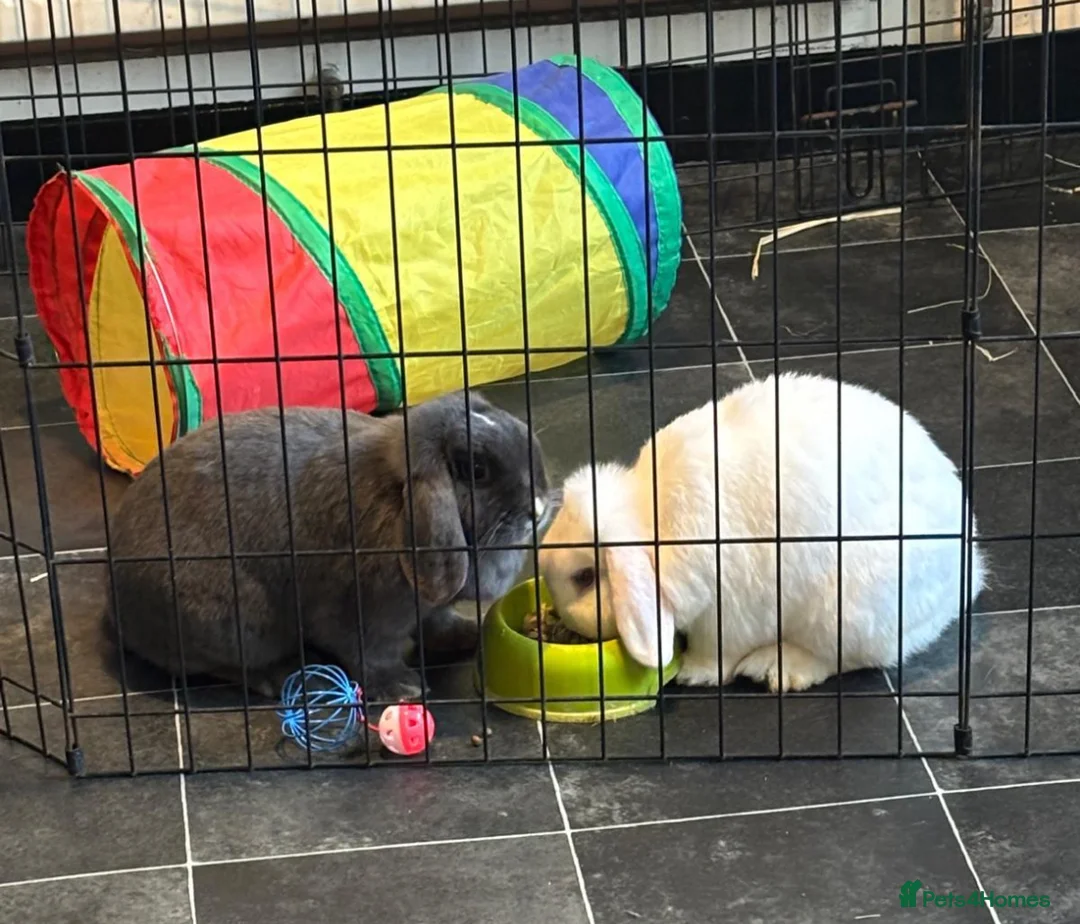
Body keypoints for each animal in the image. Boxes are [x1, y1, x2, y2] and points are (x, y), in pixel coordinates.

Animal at [106, 391, 552, 702]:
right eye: (476, 470)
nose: (538, 507)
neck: (397, 498)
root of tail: (120, 609)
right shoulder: (357, 613)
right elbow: (367, 653)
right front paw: (403, 688)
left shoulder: (428, 606)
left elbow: (438, 623)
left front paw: (469, 634)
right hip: (236, 621)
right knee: (226, 665)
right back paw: (284, 676)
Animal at [538, 373, 986, 693]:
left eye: (584, 577)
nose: (562, 619)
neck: (653, 525)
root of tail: (967, 573)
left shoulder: (728, 611)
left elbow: (717, 653)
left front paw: (692, 673)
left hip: (851, 608)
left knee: (852, 657)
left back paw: (777, 669)